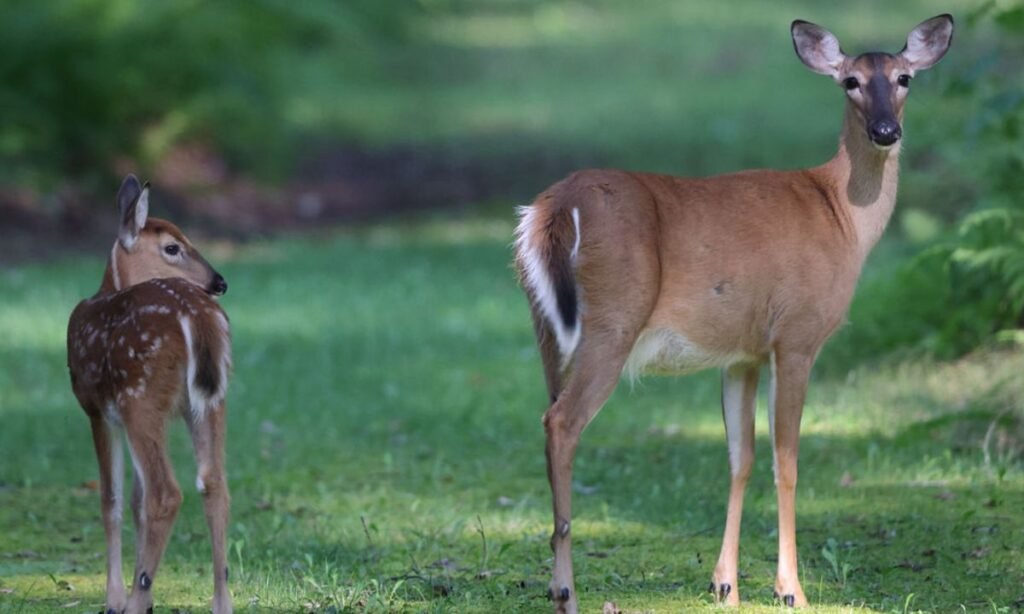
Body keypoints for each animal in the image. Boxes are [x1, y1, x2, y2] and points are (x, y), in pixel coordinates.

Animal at [67, 175, 233, 614]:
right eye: (173, 247)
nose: (220, 282)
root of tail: (197, 315)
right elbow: (135, 501)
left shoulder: (97, 411)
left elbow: (112, 499)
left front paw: (115, 598)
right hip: (210, 401)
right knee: (214, 484)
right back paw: (220, 602)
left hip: (139, 395)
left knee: (166, 494)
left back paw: (136, 600)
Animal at [514, 14, 953, 611]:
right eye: (851, 82)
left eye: (905, 77)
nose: (887, 131)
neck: (842, 215)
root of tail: (554, 207)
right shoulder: (796, 336)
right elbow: (786, 459)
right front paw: (791, 588)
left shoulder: (741, 353)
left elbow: (739, 457)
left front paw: (724, 583)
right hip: (613, 323)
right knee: (562, 423)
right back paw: (565, 590)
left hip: (547, 329)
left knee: (549, 418)